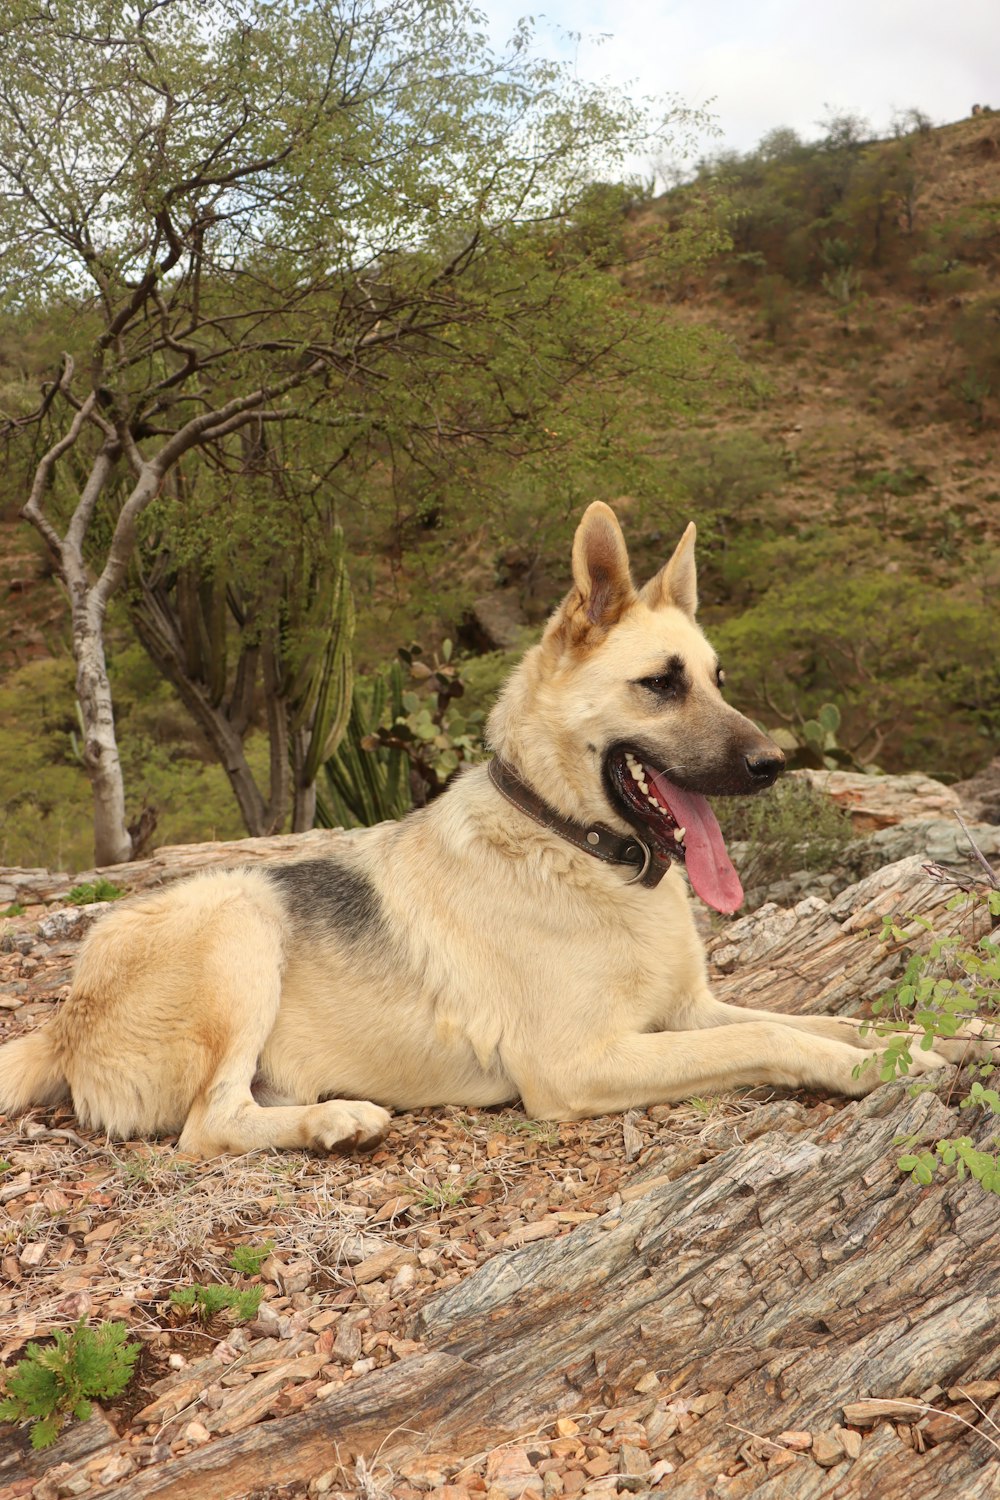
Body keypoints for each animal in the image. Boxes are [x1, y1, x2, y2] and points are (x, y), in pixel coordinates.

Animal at [0, 504, 971, 1158]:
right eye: (661, 684)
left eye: (717, 679)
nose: (772, 763)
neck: (575, 845)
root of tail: (64, 1022)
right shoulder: (579, 1064)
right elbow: (771, 1036)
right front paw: (881, 1069)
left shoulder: (686, 1010)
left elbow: (825, 1015)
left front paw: (941, 1038)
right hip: (241, 919)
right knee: (208, 1127)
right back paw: (336, 1120)